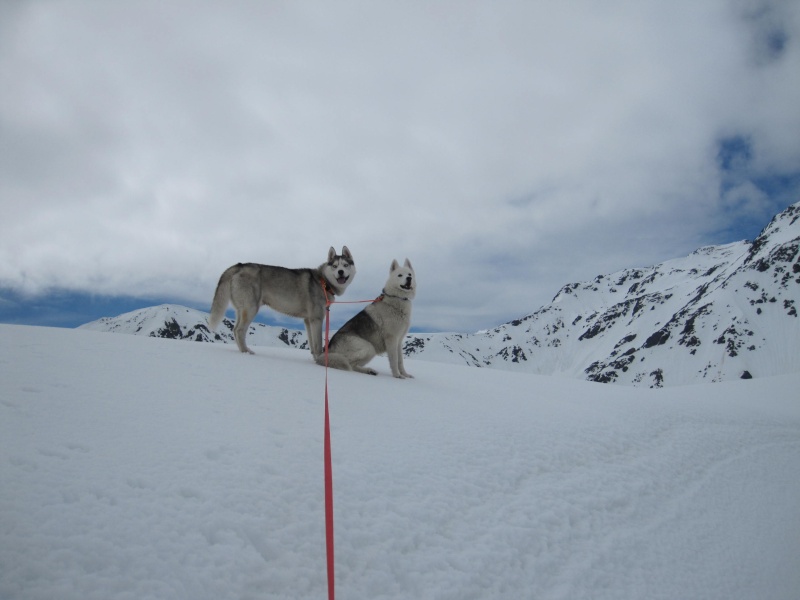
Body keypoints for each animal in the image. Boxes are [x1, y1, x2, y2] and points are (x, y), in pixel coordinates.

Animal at [209, 245, 356, 356]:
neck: (323, 282)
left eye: (345, 265)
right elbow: (318, 344)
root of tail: (240, 265)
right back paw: (246, 352)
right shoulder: (317, 318)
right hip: (251, 308)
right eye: (335, 266)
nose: (341, 272)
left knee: (234, 329)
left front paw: (315, 359)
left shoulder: (308, 320)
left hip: (242, 309)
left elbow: (312, 345)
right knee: (239, 330)